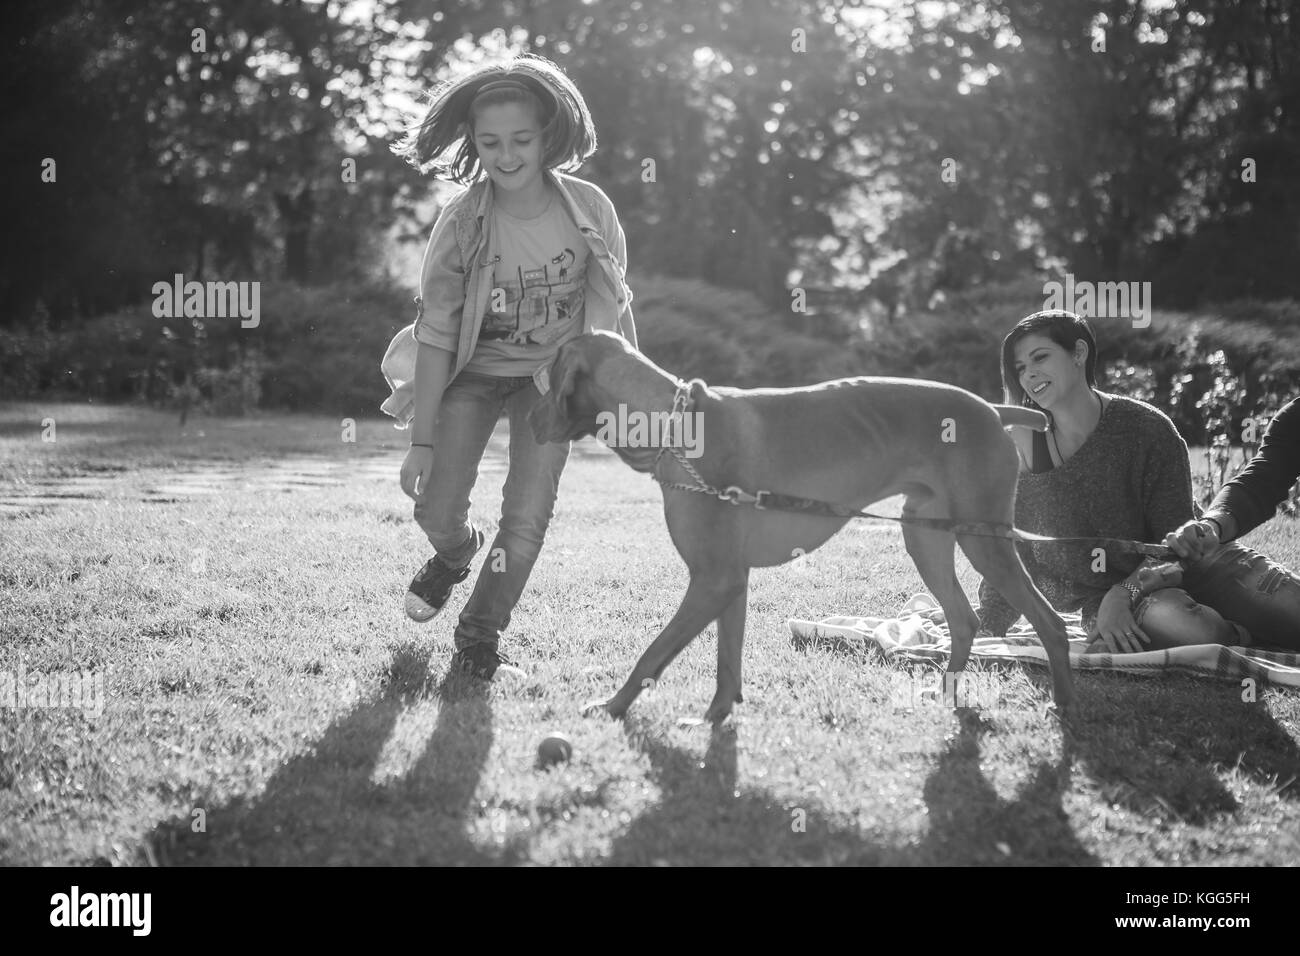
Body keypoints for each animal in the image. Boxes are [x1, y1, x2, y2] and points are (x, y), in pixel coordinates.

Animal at [527, 330, 1076, 723]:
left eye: (549, 372)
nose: (529, 420)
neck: (673, 424)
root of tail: (991, 408)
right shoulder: (730, 583)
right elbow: (727, 661)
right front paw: (716, 717)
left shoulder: (713, 580)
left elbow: (653, 654)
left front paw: (613, 707)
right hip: (924, 533)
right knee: (963, 620)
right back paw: (946, 697)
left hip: (984, 539)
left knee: (1047, 621)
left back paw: (1063, 705)